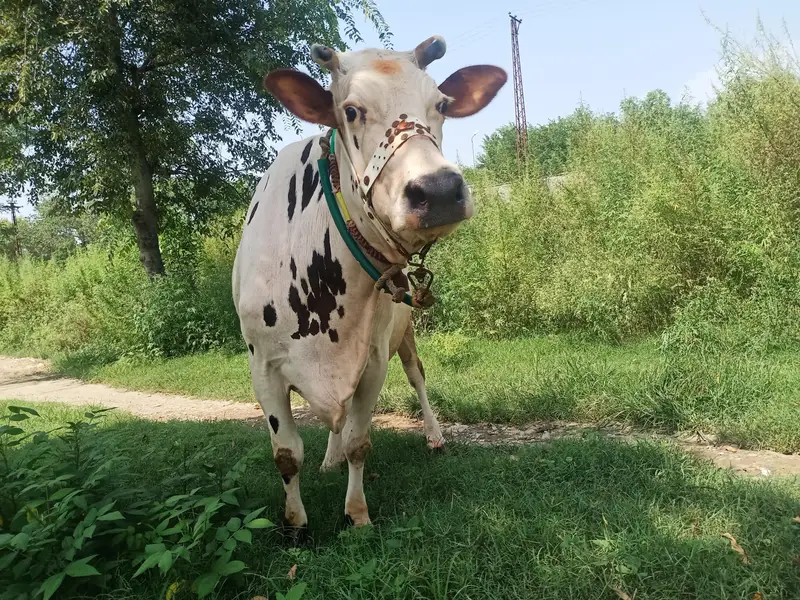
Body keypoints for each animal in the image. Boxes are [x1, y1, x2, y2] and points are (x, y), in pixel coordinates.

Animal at [232, 36, 506, 528]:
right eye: (352, 110)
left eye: (441, 104)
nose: (439, 190)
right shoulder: (262, 366)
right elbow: (287, 454)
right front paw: (296, 521)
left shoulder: (373, 360)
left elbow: (360, 441)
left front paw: (356, 514)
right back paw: (329, 458)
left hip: (406, 334)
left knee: (417, 378)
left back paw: (433, 435)